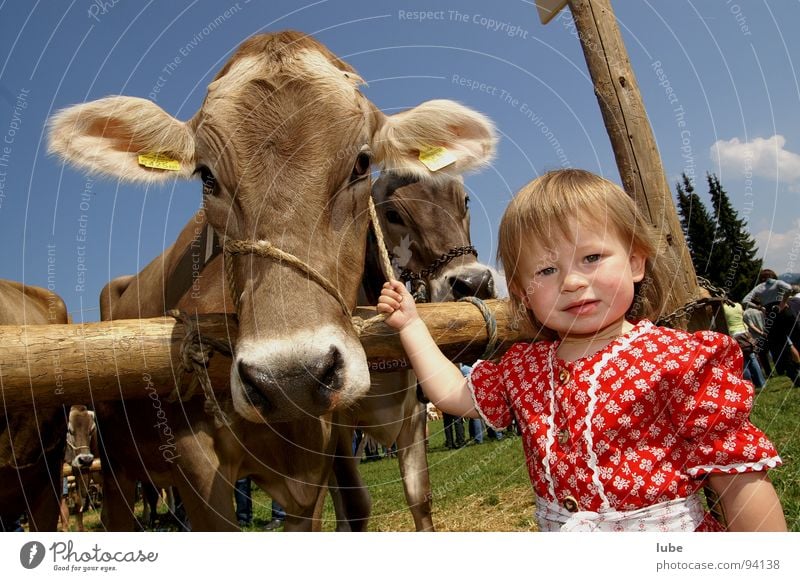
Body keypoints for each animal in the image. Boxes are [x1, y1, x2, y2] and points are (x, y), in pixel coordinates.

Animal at [48, 31, 494, 532]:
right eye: (206, 177)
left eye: (362, 163)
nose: (290, 378)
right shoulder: (198, 463)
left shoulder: (340, 449)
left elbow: (413, 501)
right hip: (117, 468)